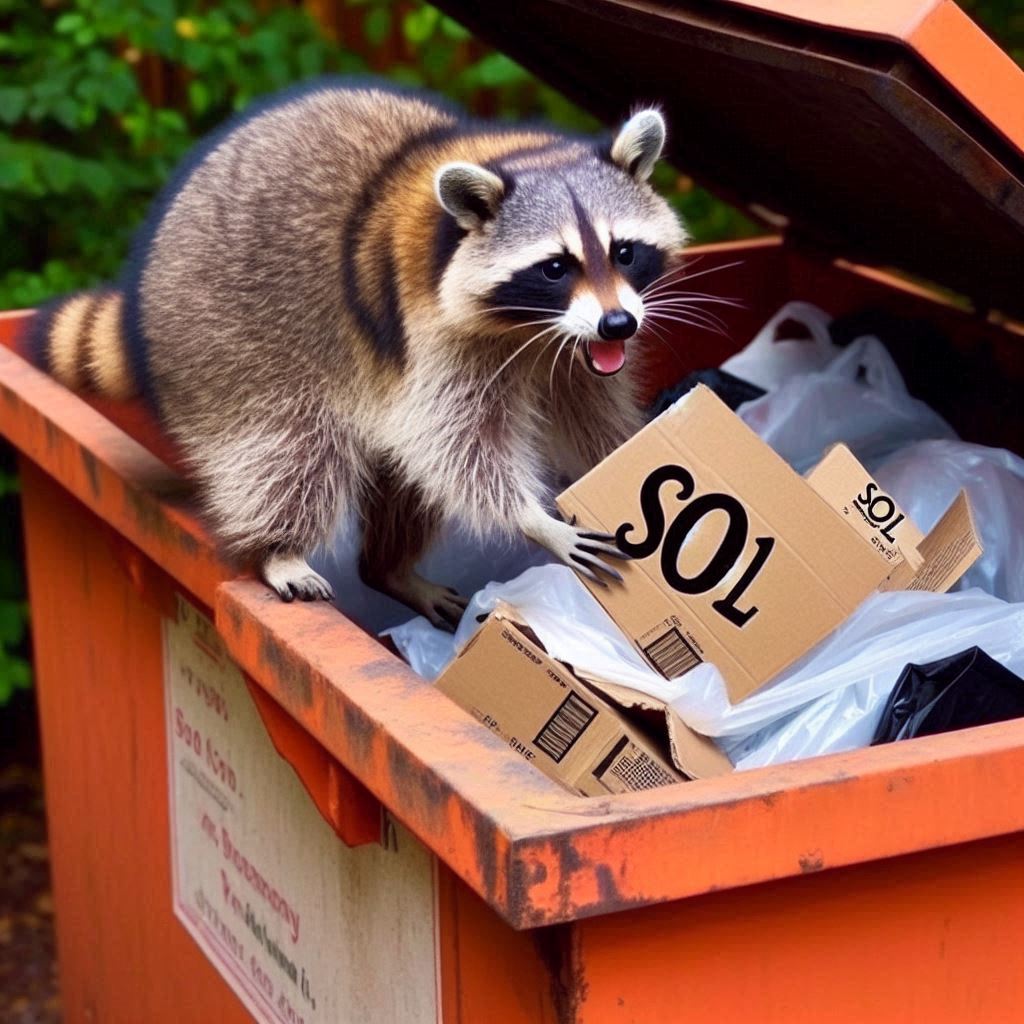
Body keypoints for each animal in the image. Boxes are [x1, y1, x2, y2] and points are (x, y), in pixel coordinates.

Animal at [28, 79, 687, 628]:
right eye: (555, 267)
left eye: (624, 251)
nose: (618, 323)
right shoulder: (432, 333)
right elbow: (456, 446)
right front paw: (533, 518)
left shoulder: (575, 350)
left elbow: (588, 410)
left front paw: (627, 449)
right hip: (225, 341)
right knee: (293, 448)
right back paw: (277, 548)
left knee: (398, 476)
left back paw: (389, 569)